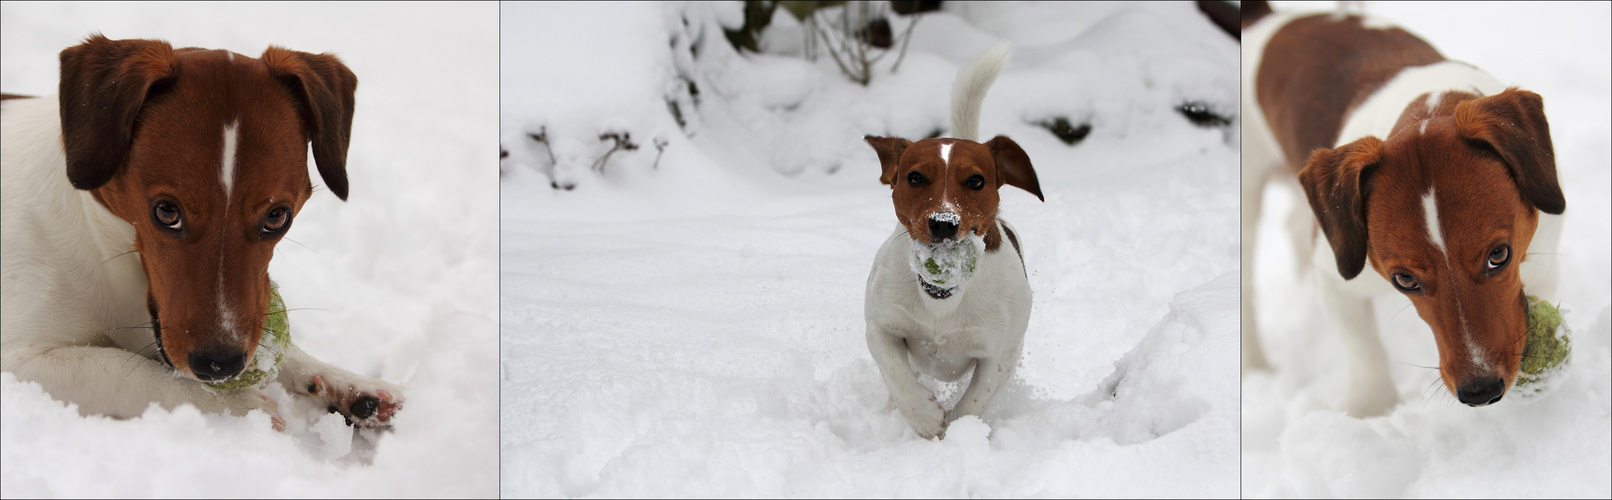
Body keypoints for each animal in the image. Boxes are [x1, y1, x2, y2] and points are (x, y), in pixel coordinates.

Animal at [1, 35, 403, 429]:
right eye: (166, 211)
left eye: (277, 217)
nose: (220, 364)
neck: (105, 248)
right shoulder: (18, 361)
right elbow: (122, 371)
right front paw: (236, 407)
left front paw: (346, 382)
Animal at [864, 43, 1038, 441]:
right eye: (914, 177)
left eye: (976, 181)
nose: (943, 223)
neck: (942, 299)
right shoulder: (880, 327)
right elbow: (896, 375)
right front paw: (924, 417)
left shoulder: (1000, 354)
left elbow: (975, 400)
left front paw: (957, 434)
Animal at [1238, 5, 1566, 416]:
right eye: (1405, 280)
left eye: (1499, 256)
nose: (1480, 391)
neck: (1426, 105)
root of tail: (1264, 18)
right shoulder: (1336, 276)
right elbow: (1365, 351)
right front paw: (1370, 410)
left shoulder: (1543, 248)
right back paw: (1254, 365)